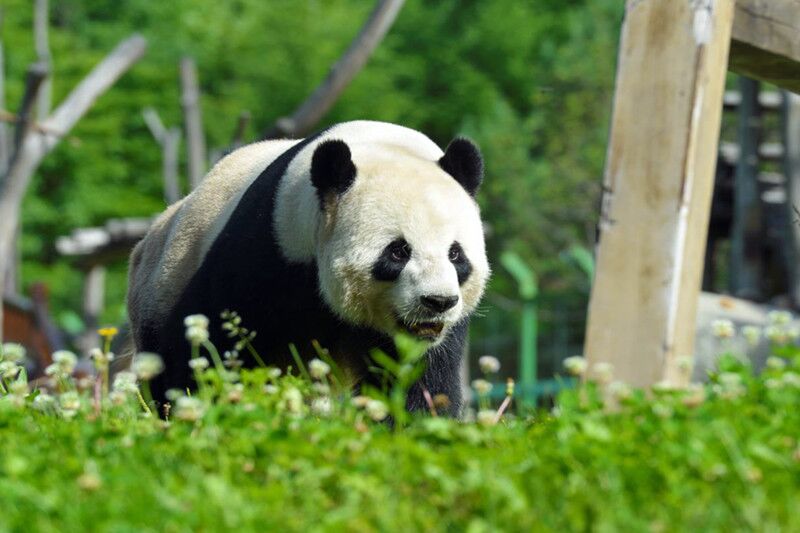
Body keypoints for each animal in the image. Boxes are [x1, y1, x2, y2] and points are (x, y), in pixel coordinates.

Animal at [127, 120, 490, 415]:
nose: (437, 302)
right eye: (398, 251)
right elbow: (208, 342)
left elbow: (419, 379)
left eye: (456, 255)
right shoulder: (266, 249)